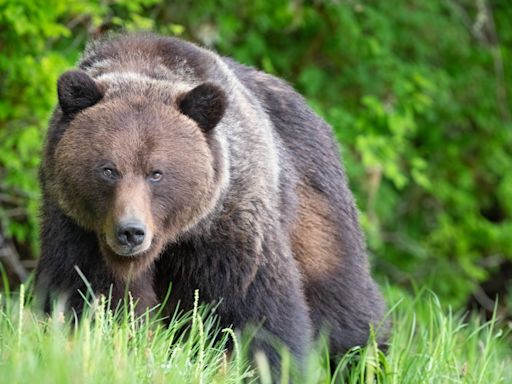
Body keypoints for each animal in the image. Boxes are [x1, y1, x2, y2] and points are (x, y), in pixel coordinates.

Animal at [35, 33, 388, 372]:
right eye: (108, 169)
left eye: (156, 173)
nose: (131, 232)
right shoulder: (78, 227)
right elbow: (89, 294)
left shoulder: (228, 221)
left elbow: (255, 308)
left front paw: (267, 365)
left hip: (314, 204)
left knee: (342, 300)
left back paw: (367, 360)